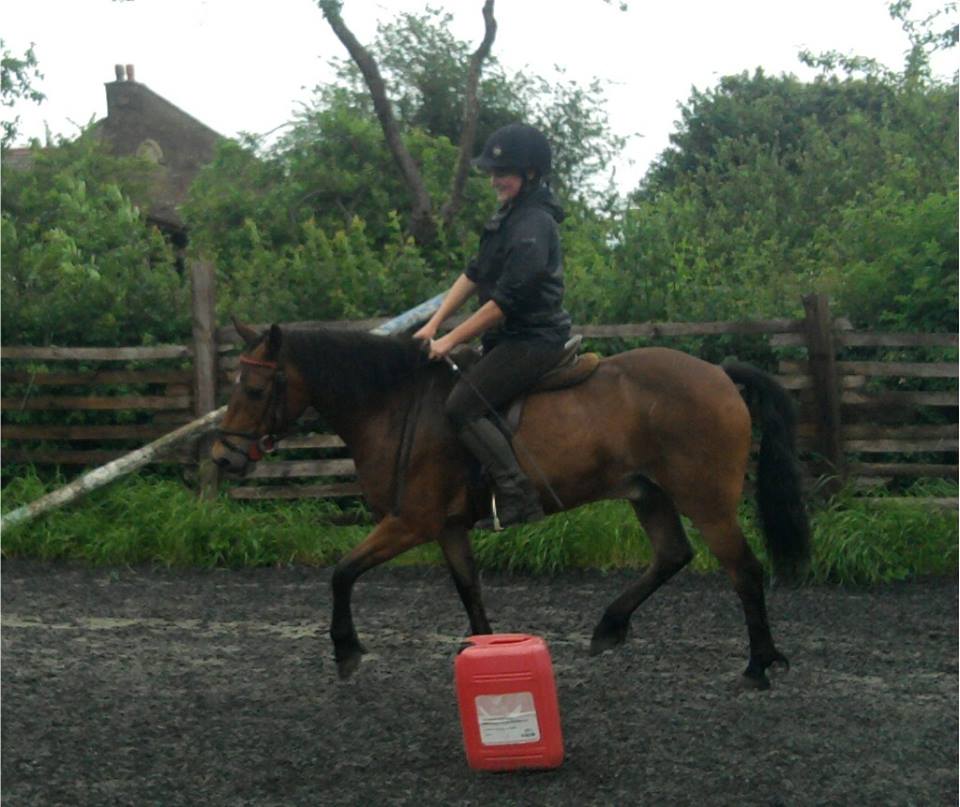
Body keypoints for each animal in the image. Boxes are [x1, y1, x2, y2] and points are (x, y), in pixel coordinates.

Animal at [212, 321, 811, 689]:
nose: (224, 456)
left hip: (706, 501)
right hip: (649, 492)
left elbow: (341, 573)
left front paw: (346, 650)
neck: (395, 406)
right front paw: (486, 656)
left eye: (256, 390)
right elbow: (470, 593)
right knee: (671, 556)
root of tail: (720, 374)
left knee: (744, 569)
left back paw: (758, 665)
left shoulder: (410, 522)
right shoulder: (447, 528)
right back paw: (609, 626)